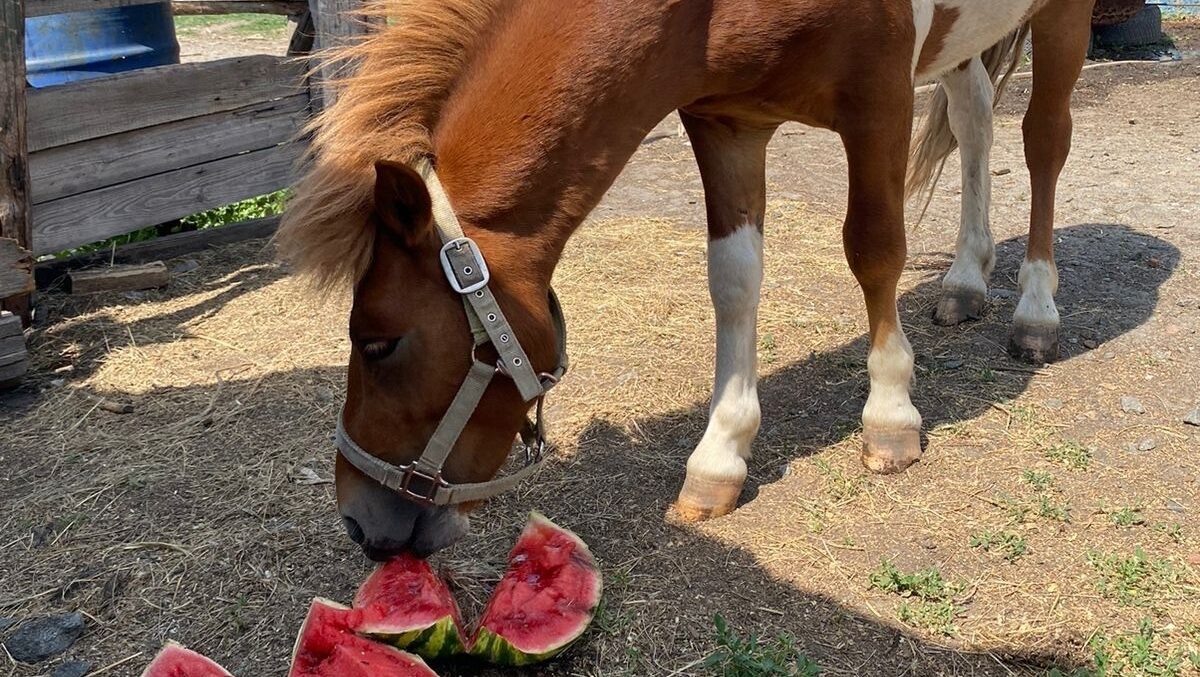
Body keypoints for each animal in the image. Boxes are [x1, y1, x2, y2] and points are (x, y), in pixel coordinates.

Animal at [278, 0, 1099, 561]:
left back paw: (1035, 312)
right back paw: (964, 281)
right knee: (976, 118)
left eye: (378, 342)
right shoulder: (726, 120)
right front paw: (719, 456)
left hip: (1062, 17)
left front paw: (891, 416)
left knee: (1044, 139)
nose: (359, 519)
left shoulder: (879, 99)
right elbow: (733, 279)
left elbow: (874, 250)